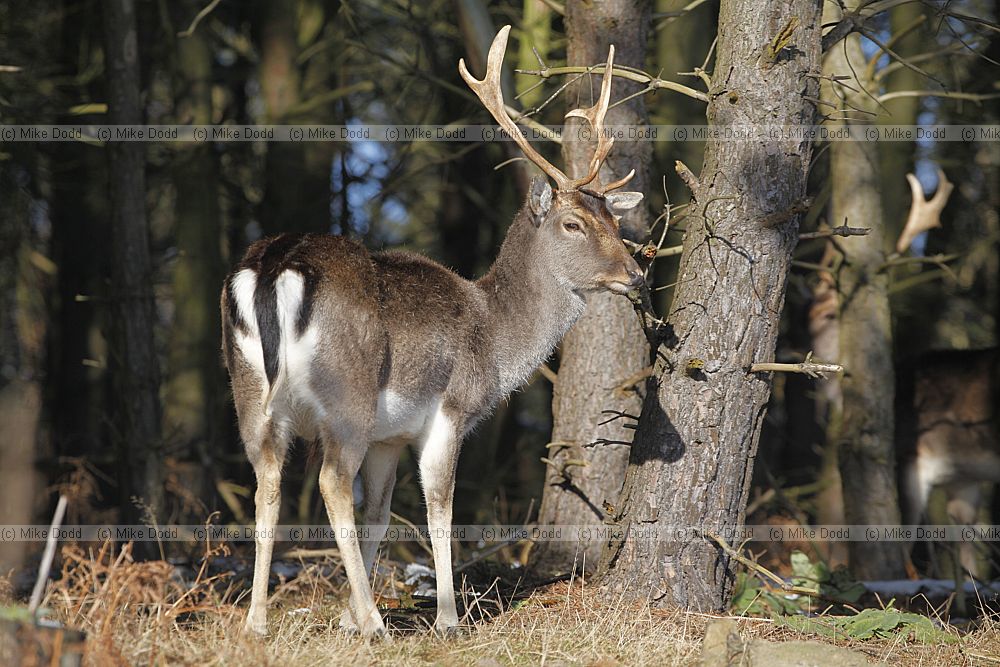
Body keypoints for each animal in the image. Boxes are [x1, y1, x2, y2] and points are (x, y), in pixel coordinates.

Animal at [220, 25, 645, 637]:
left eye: (614, 219)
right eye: (573, 223)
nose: (635, 273)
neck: (496, 339)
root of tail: (276, 266)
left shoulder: (389, 436)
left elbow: (378, 514)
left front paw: (347, 614)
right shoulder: (452, 408)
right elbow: (439, 508)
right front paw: (445, 616)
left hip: (249, 389)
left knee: (268, 482)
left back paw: (258, 620)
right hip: (346, 394)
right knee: (329, 482)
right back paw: (375, 623)